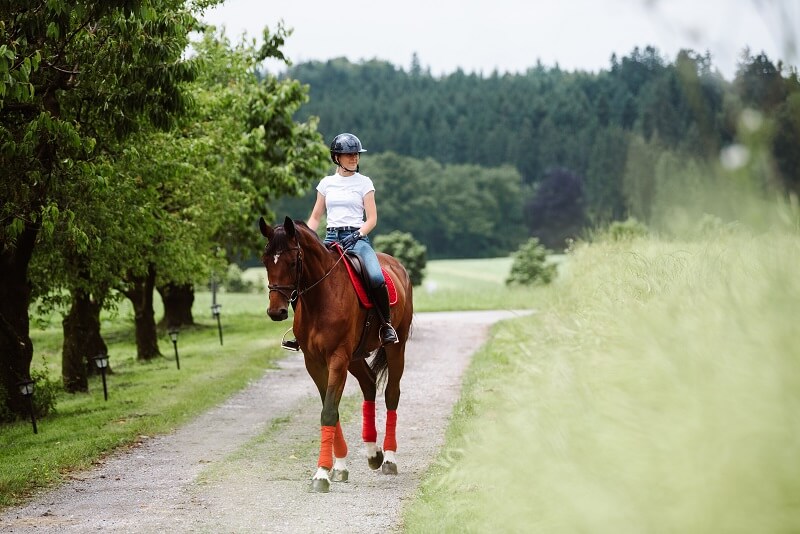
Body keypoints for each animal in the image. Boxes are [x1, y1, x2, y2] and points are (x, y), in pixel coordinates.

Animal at [259, 216, 413, 493]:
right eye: (266, 260)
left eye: (292, 261)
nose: (276, 312)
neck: (320, 297)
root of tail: (397, 266)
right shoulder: (314, 362)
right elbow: (331, 408)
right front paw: (338, 467)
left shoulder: (337, 358)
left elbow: (329, 411)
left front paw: (321, 473)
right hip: (355, 357)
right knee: (369, 384)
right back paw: (373, 453)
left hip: (396, 347)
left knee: (391, 393)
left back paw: (389, 459)